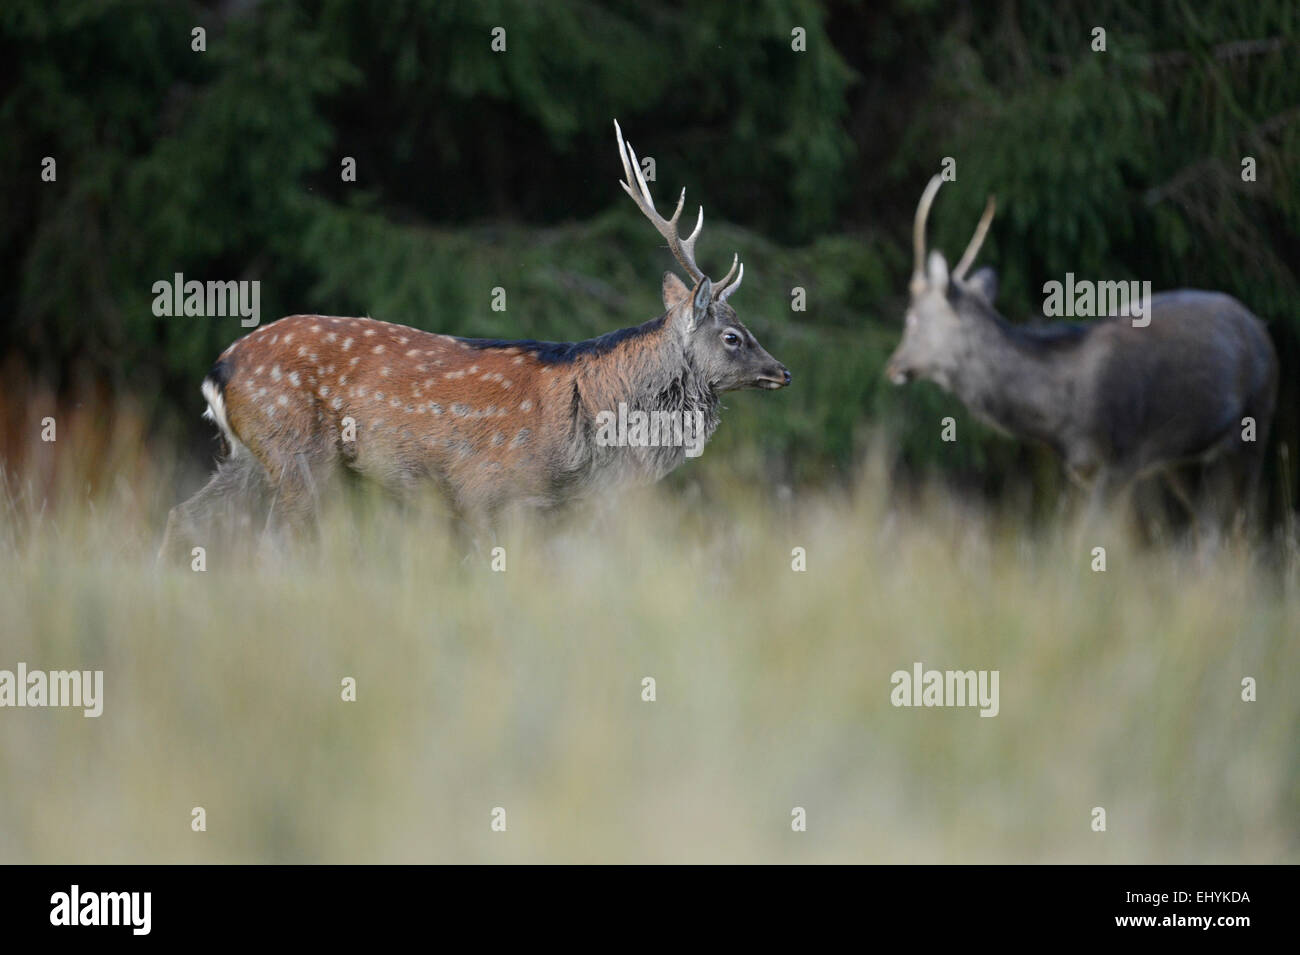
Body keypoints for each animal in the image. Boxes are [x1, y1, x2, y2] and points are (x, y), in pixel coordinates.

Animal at [162, 123, 790, 563]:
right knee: (277, 539)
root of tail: (218, 370)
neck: (595, 433)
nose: (783, 371)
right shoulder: (491, 490)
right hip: (296, 450)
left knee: (183, 517)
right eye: (733, 336)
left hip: (248, 455)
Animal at [883, 175, 1279, 527]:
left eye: (911, 317)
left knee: (1241, 526)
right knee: (1210, 529)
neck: (1061, 414)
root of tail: (1261, 328)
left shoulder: (1121, 461)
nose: (893, 366)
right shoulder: (1085, 469)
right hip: (1184, 461)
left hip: (1254, 427)